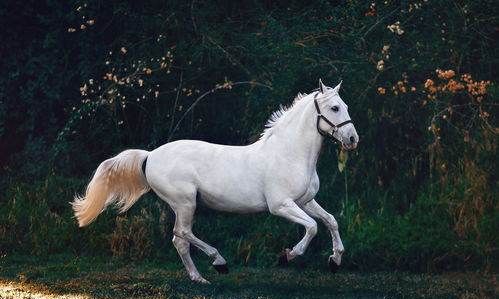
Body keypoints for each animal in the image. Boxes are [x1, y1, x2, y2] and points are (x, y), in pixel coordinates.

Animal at [71, 79, 360, 284]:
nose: (352, 139)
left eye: (346, 107)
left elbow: (330, 221)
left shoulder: (305, 201)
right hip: (185, 202)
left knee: (179, 240)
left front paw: (335, 260)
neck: (289, 153)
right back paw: (219, 262)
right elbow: (312, 227)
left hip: (184, 205)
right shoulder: (281, 206)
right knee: (182, 233)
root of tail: (150, 155)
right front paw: (288, 255)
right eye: (334, 108)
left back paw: (199, 278)